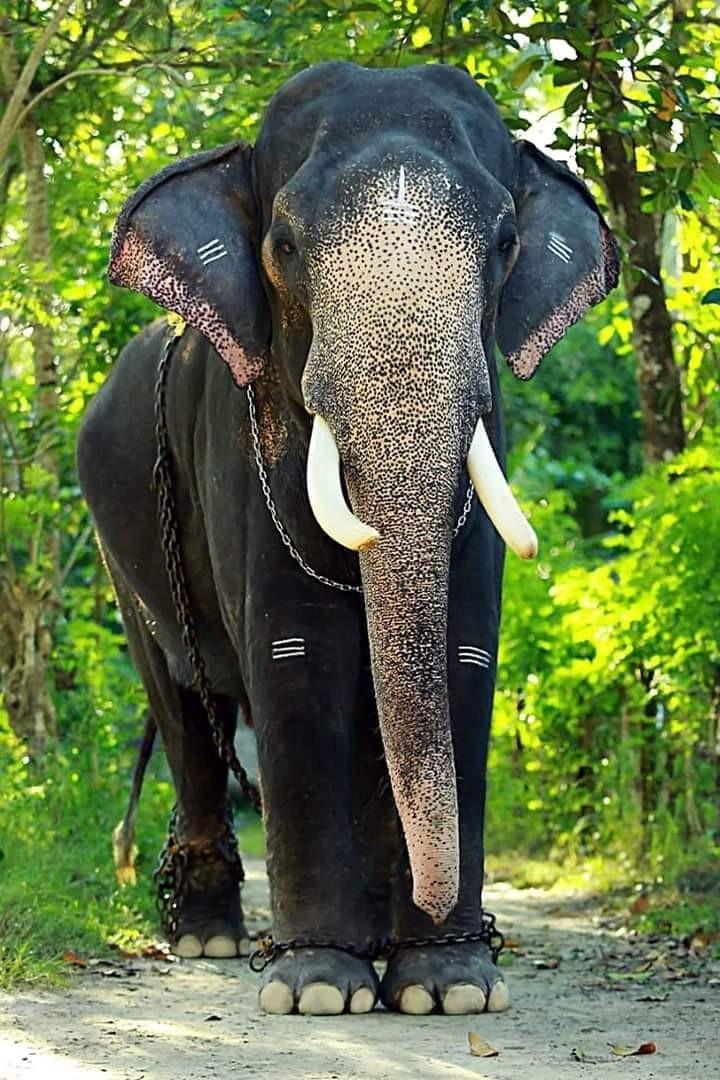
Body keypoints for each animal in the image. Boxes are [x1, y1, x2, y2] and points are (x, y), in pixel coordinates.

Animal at [77, 60, 619, 1016]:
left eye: (505, 242)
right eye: (286, 244)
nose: (461, 921)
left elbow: (464, 657)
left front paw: (448, 988)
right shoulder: (242, 449)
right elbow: (298, 660)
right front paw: (321, 991)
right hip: (122, 548)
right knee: (184, 709)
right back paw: (211, 938)